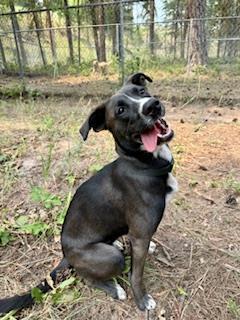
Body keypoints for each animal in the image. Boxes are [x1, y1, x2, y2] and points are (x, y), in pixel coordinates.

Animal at [0, 72, 178, 312]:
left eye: (141, 92)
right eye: (120, 110)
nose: (152, 106)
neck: (141, 164)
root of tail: (66, 255)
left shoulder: (138, 236)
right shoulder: (139, 236)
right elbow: (136, 274)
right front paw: (141, 300)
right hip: (112, 258)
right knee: (86, 277)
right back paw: (114, 288)